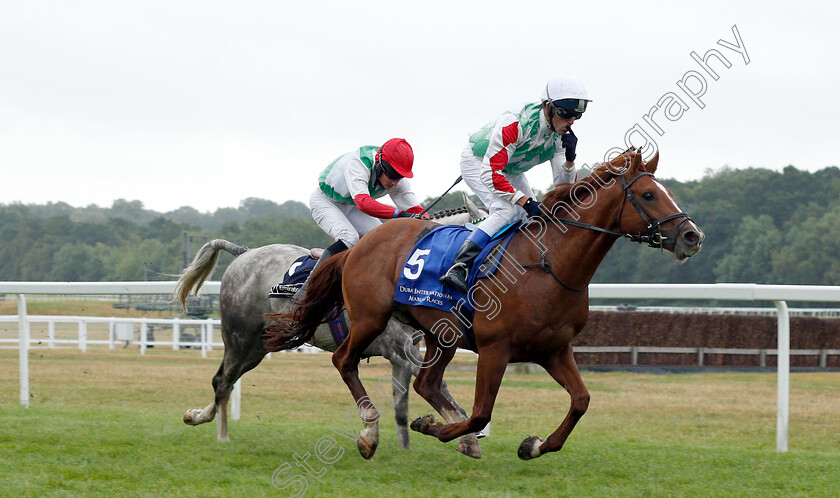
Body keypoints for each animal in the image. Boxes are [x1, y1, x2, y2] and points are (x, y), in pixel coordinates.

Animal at [174, 196, 486, 458]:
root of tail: (244, 254)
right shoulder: (398, 347)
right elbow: (438, 384)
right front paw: (467, 435)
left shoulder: (404, 350)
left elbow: (403, 403)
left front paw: (410, 445)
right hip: (240, 339)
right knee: (222, 380)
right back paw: (222, 435)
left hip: (258, 346)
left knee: (226, 380)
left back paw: (197, 415)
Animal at [262, 150, 704, 462]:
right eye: (648, 194)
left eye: (665, 191)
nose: (691, 236)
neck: (549, 263)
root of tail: (359, 244)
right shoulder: (495, 348)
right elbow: (481, 412)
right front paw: (434, 428)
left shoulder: (553, 348)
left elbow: (581, 401)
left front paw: (534, 445)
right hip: (372, 318)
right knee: (345, 360)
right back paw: (370, 433)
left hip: (441, 334)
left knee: (426, 382)